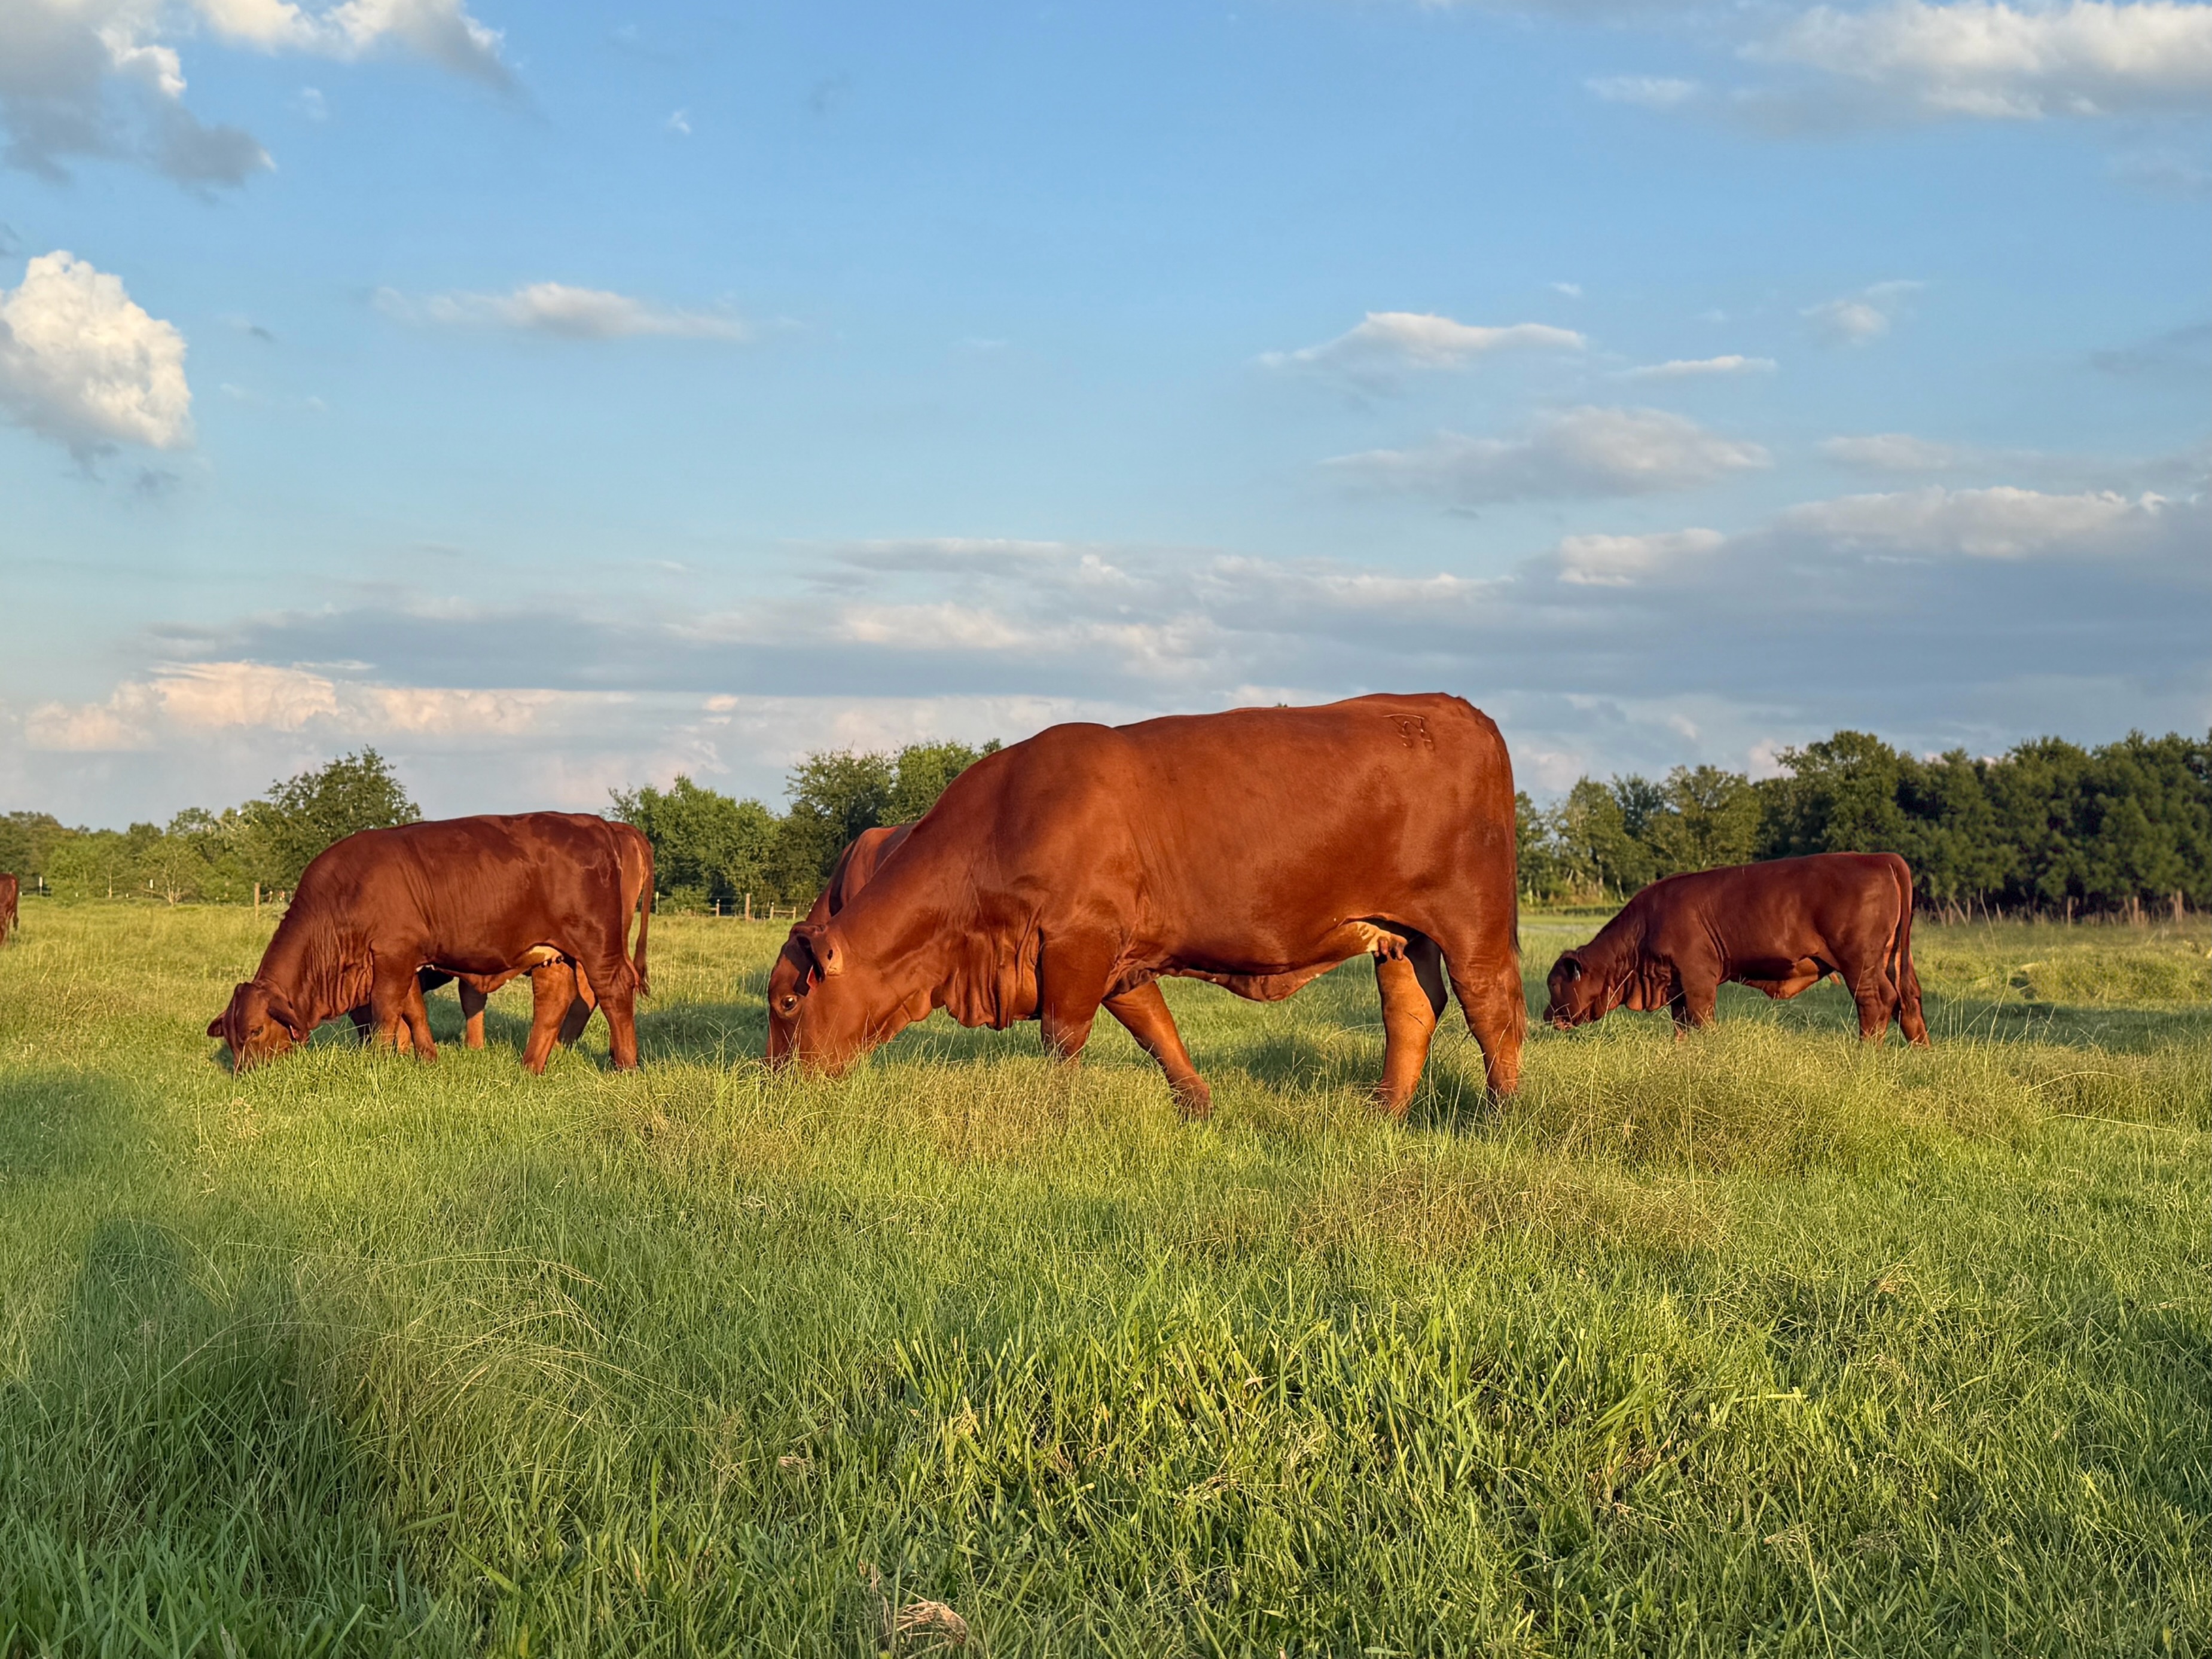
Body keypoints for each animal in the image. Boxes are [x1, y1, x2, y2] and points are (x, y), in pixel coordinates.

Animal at [210, 812, 644, 1073]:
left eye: (255, 1031)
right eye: (230, 1037)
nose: (245, 1075)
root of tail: (596, 823)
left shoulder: (392, 955)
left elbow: (386, 1012)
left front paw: (379, 1061)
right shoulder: (401, 960)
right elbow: (413, 1011)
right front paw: (426, 1058)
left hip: (597, 944)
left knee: (612, 991)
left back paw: (624, 1064)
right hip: (552, 953)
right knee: (555, 999)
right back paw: (530, 1066)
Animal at [770, 694, 1526, 1113]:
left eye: (787, 1001)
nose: (772, 1088)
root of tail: (1457, 708)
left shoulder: (1078, 942)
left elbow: (1063, 1041)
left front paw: (1059, 1119)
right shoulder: (1118, 957)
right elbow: (1156, 1031)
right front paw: (1199, 1107)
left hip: (1474, 923)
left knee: (1492, 1010)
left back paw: (1500, 1115)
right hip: (1399, 933)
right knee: (1412, 1010)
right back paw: (1383, 1113)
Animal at [1544, 851, 1929, 1044]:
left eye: (1554, 984)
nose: (1547, 1015)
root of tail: (1879, 857)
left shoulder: (1698, 980)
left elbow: (1702, 1021)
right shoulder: (1676, 986)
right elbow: (1681, 1026)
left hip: (1860, 963)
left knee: (1878, 1002)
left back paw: (1866, 1052)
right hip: (1894, 959)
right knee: (1908, 1001)